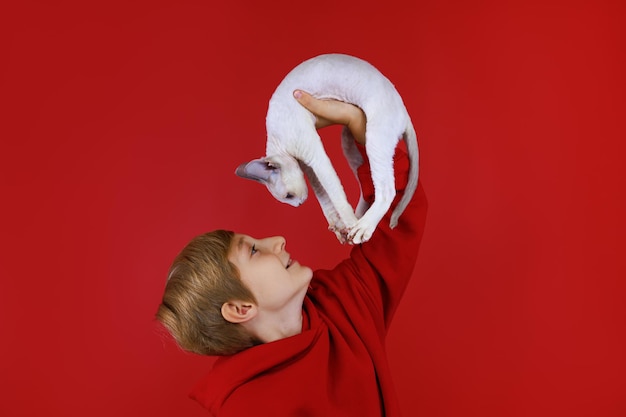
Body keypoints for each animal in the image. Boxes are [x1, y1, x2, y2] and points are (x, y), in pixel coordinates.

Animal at [233, 54, 414, 244]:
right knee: (366, 187)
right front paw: (338, 226)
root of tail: (404, 113)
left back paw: (362, 226)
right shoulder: (308, 166)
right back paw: (360, 217)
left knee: (387, 190)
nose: (299, 204)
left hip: (375, 136)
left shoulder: (316, 157)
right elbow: (323, 196)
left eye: (289, 196)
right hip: (349, 141)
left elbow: (336, 195)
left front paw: (349, 225)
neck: (279, 144)